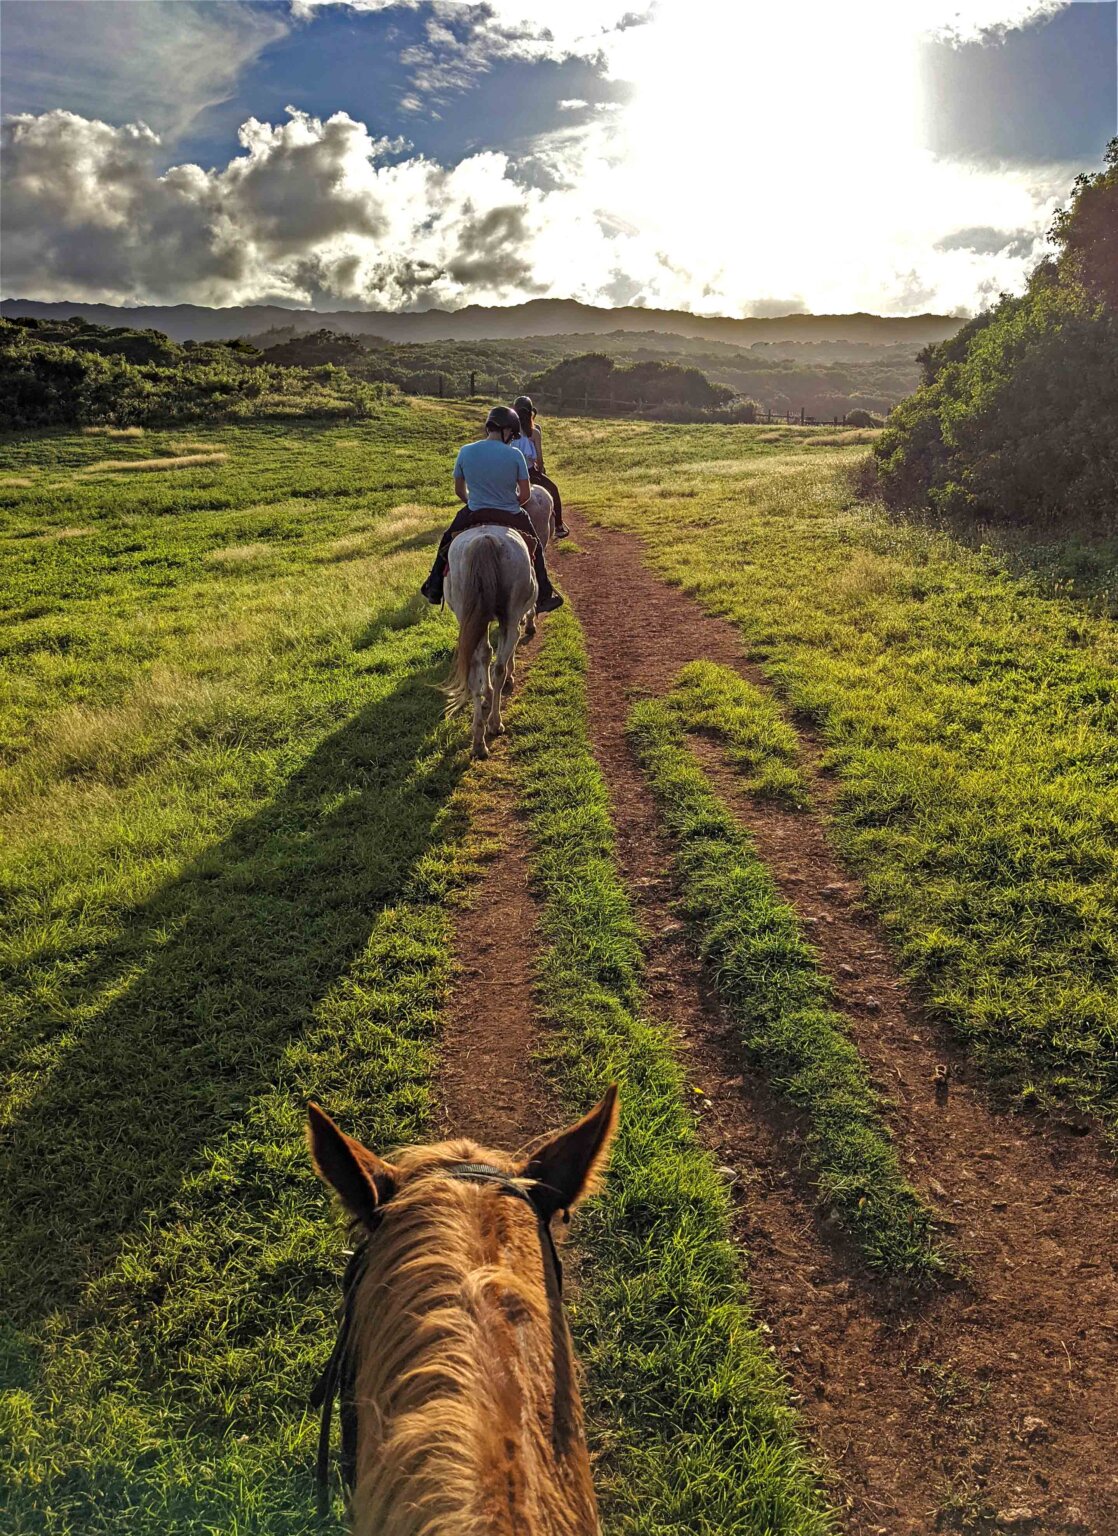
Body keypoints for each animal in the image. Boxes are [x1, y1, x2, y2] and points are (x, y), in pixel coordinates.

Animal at [442, 525, 534, 758]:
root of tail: (485, 539)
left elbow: (486, 657)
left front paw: (487, 695)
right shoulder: (512, 620)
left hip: (468, 618)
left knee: (477, 665)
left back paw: (478, 740)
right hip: (510, 617)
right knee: (498, 666)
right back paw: (494, 723)